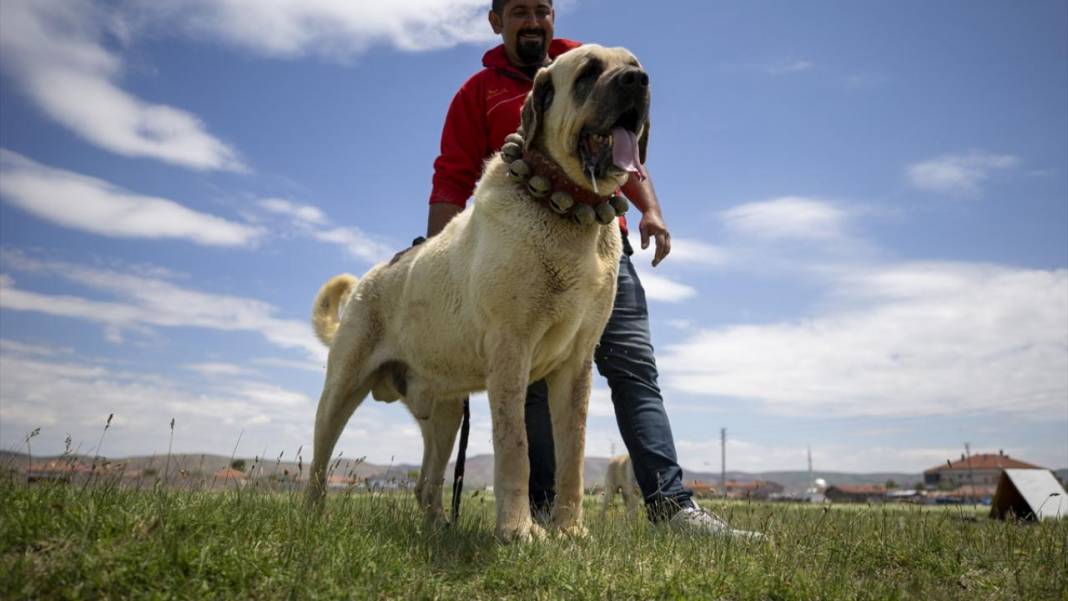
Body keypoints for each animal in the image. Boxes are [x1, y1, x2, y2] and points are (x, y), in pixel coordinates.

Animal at [305, 44, 645, 542]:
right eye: (588, 73)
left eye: (634, 66)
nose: (638, 82)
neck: (568, 206)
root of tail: (369, 280)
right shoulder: (511, 351)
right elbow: (516, 445)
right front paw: (520, 531)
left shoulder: (576, 365)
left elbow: (573, 453)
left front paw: (570, 531)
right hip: (341, 389)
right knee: (318, 462)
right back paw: (314, 518)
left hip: (445, 413)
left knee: (426, 483)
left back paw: (438, 528)